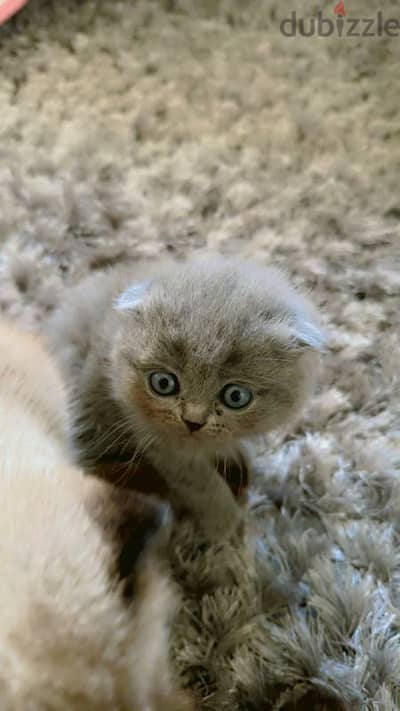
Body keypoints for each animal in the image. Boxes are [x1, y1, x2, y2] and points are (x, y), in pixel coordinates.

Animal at [47, 258, 324, 544]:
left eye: (236, 396)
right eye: (163, 383)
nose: (192, 421)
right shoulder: (156, 437)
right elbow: (200, 481)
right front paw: (224, 523)